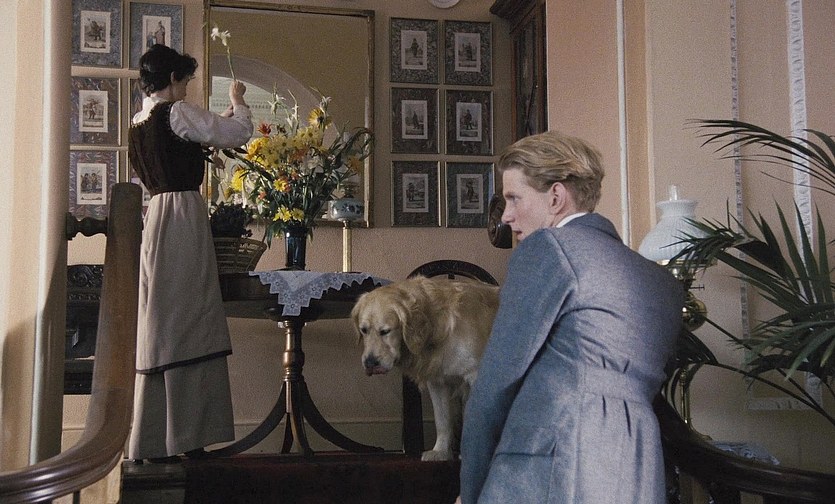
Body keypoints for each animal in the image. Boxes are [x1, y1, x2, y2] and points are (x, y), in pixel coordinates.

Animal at [351, 275, 500, 461]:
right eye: (363, 330)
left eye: (385, 331)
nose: (370, 363)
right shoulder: (437, 381)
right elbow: (442, 420)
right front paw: (440, 451)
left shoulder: (475, 376)